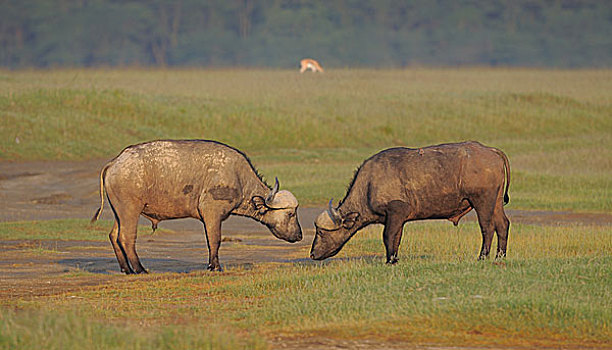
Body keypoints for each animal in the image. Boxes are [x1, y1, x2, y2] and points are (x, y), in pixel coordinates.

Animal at [91, 139, 302, 274]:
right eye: (291, 213)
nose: (299, 235)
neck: (238, 177)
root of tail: (115, 162)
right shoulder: (212, 214)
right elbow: (214, 240)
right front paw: (215, 266)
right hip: (130, 210)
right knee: (126, 237)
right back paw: (139, 269)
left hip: (120, 212)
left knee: (114, 235)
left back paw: (126, 268)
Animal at [310, 141, 512, 264]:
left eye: (321, 232)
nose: (312, 254)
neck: (369, 184)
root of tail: (490, 150)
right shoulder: (398, 219)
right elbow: (396, 238)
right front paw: (394, 258)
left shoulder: (395, 213)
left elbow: (388, 236)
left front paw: (389, 261)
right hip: (495, 202)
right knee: (503, 224)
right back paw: (500, 255)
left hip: (482, 201)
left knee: (487, 227)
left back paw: (482, 256)